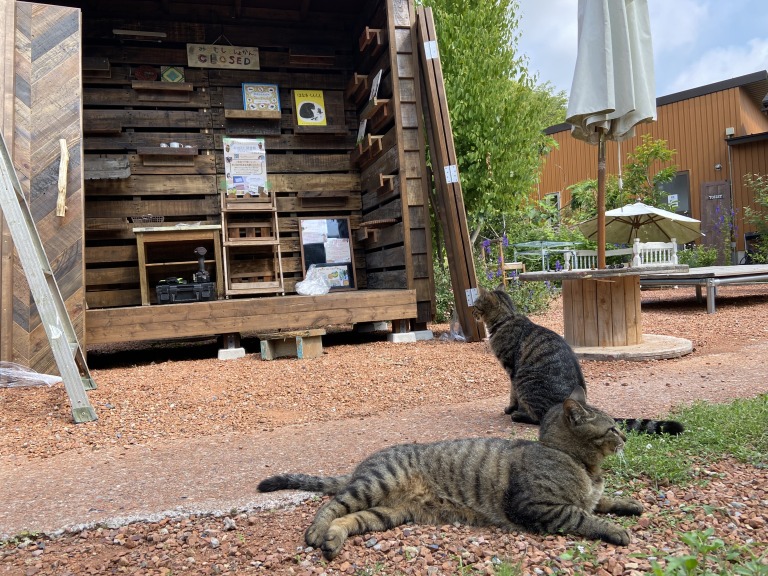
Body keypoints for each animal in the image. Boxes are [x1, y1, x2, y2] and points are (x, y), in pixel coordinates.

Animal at [258, 384, 640, 560]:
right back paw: (316, 533)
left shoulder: (587, 496)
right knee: (331, 506)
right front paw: (615, 530)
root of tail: (360, 466)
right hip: (376, 484)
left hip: (388, 513)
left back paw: (332, 540)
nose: (625, 435)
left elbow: (602, 501)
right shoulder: (538, 507)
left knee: (348, 519)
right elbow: (583, 515)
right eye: (611, 428)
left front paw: (629, 505)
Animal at [474, 286, 684, 434]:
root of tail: (579, 407)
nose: (471, 309)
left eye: (475, 304)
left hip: (525, 379)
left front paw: (511, 409)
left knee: (539, 416)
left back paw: (519, 415)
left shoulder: (512, 369)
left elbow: (512, 395)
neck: (506, 318)